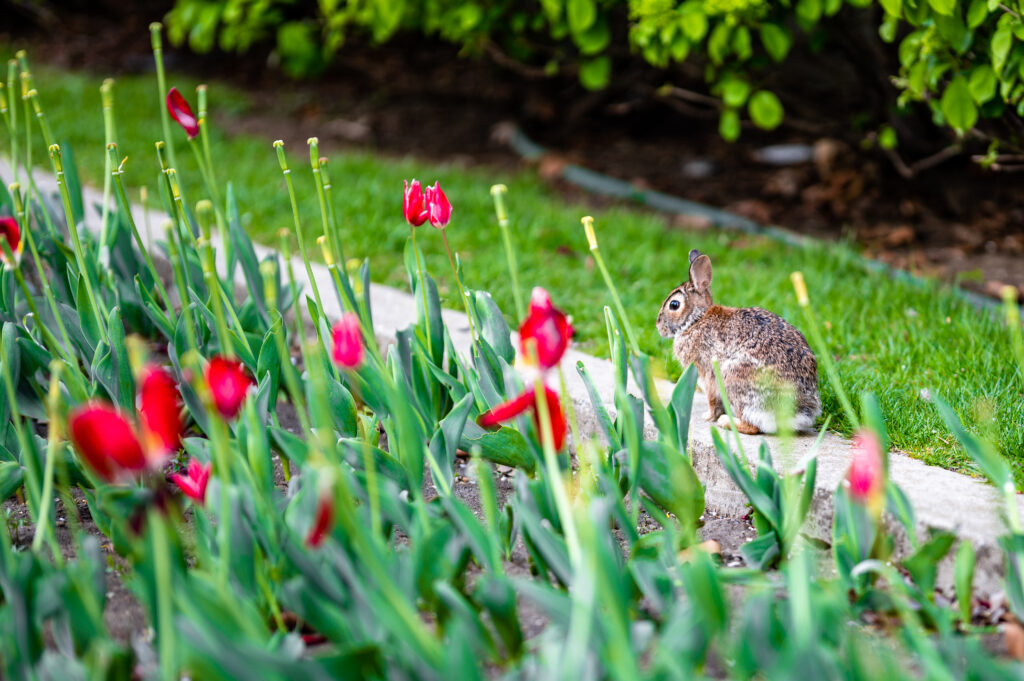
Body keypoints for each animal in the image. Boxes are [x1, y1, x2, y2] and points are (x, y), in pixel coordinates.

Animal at [656, 249, 821, 434]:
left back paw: (726, 422)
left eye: (674, 305)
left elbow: (712, 400)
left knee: (752, 426)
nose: (658, 326)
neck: (696, 320)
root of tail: (794, 413)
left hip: (733, 379)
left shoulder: (707, 373)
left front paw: (708, 417)